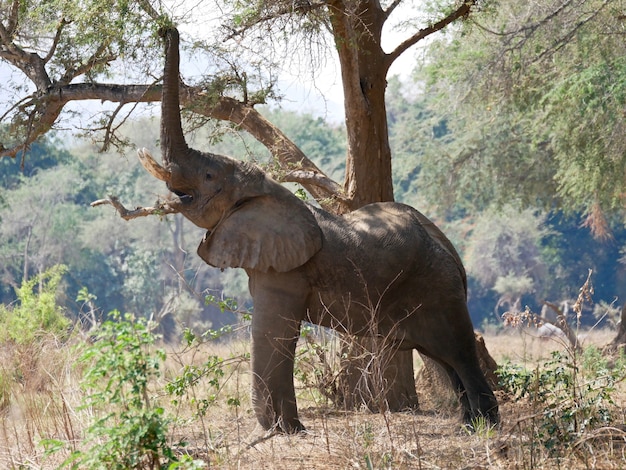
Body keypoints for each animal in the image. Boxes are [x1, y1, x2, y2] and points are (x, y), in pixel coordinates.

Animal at [136, 27, 498, 434]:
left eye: (210, 176)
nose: (169, 29)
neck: (265, 190)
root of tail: (453, 253)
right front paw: (284, 430)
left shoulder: (288, 271)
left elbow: (273, 329)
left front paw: (283, 431)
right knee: (442, 357)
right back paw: (469, 426)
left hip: (438, 287)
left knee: (458, 351)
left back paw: (486, 427)